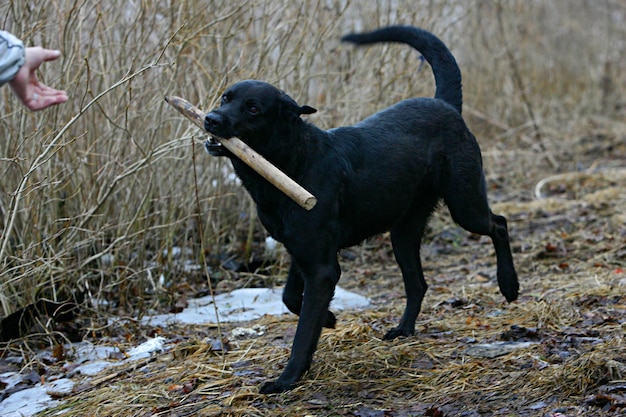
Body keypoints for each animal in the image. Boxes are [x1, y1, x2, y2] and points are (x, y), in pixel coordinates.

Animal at [204, 26, 516, 394]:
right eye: (226, 98)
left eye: (252, 108)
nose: (210, 119)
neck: (291, 162)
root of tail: (444, 103)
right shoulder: (302, 252)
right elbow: (291, 297)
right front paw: (329, 318)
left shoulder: (321, 265)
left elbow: (303, 331)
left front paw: (288, 378)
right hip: (403, 232)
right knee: (418, 284)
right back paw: (403, 330)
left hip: (465, 204)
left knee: (499, 224)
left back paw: (509, 285)